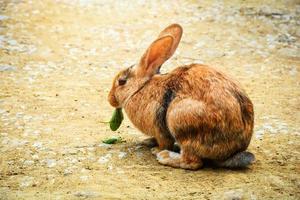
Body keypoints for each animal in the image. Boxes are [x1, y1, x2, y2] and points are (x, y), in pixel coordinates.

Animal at [107, 24, 253, 170]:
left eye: (121, 82)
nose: (110, 99)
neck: (141, 88)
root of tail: (232, 152)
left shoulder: (161, 131)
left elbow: (164, 142)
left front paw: (156, 149)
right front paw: (148, 141)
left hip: (180, 122)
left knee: (193, 161)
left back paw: (165, 156)